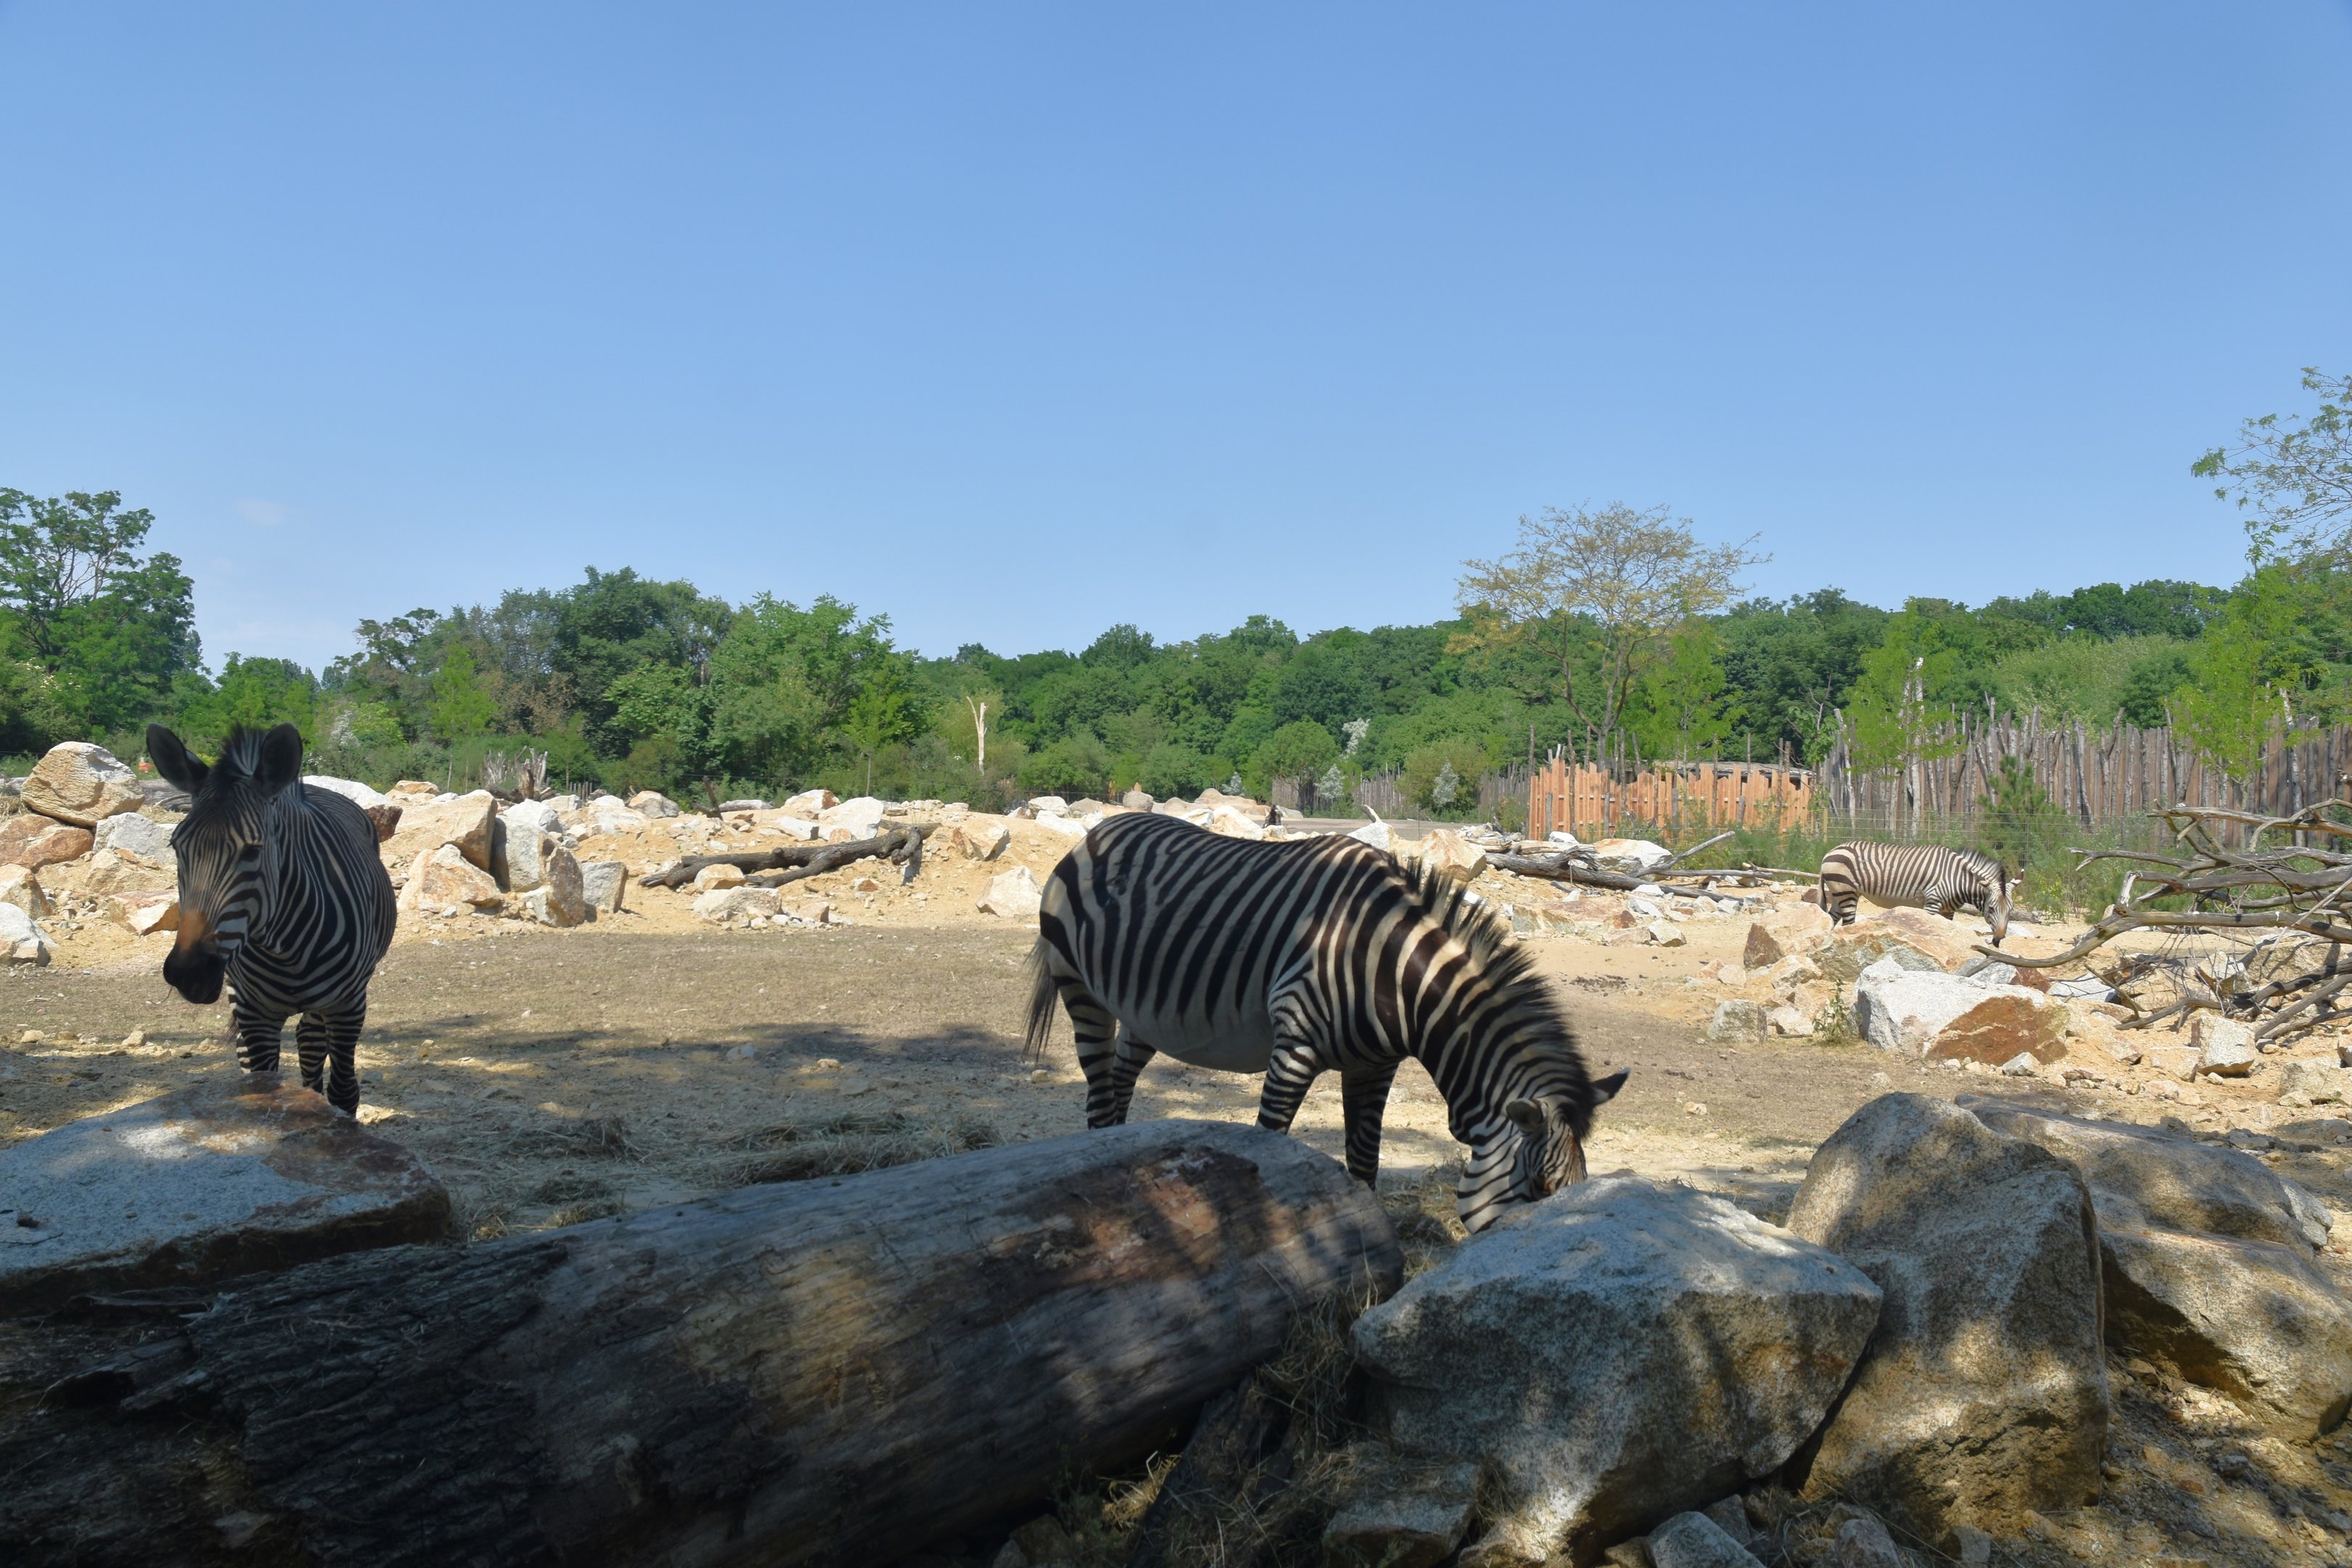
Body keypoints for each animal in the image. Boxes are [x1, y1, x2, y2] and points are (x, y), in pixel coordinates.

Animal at [148, 722, 398, 1114]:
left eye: (253, 851)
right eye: (176, 847)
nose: (189, 973)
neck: (284, 950)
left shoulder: (348, 1005)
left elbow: (344, 1091)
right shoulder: (254, 1013)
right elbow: (260, 1085)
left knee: (310, 1042)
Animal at [1023, 811, 1627, 1233]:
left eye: (1580, 1186)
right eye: (1542, 1187)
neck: (1390, 969)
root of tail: (1098, 832)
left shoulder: (1374, 1067)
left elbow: (1364, 1162)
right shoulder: (1293, 1047)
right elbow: (1270, 1142)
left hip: (1143, 1012)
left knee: (1121, 1087)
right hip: (1081, 990)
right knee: (1099, 1099)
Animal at [1816, 841, 2011, 946]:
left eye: (2010, 912)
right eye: (1991, 909)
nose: (1999, 939)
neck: (1957, 879)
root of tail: (1830, 851)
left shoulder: (1948, 911)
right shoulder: (1932, 903)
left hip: (1839, 893)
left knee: (1831, 918)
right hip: (1847, 892)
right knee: (1847, 924)